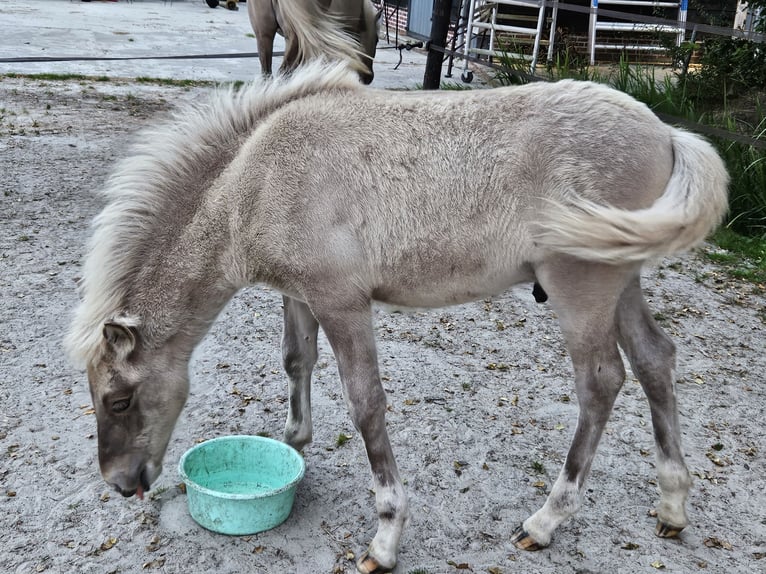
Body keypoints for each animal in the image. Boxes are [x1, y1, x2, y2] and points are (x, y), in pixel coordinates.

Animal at [67, 63, 732, 574]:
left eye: (119, 400)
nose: (120, 482)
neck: (254, 183)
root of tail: (666, 133)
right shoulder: (301, 294)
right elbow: (296, 359)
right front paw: (293, 445)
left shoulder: (342, 302)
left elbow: (366, 405)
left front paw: (385, 540)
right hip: (621, 278)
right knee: (655, 358)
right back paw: (673, 507)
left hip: (581, 288)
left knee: (601, 382)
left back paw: (545, 522)